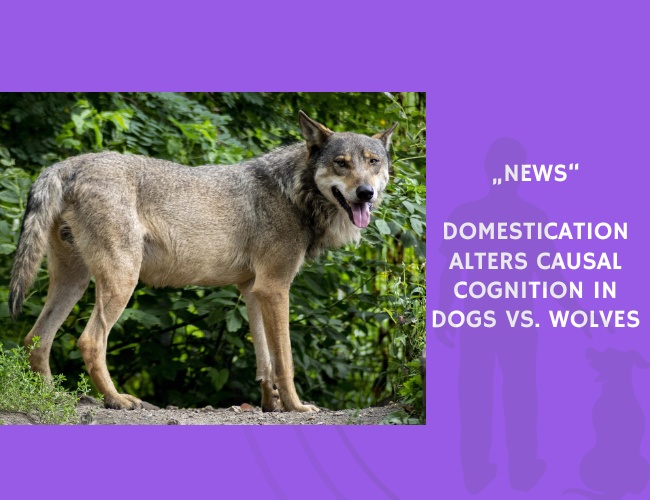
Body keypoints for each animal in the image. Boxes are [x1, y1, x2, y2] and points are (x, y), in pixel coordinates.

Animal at [9, 111, 397, 412]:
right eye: (341, 163)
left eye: (373, 162)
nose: (366, 193)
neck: (295, 191)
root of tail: (69, 163)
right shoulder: (275, 288)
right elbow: (284, 361)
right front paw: (296, 407)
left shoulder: (253, 290)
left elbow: (265, 361)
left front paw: (270, 405)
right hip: (120, 282)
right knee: (89, 341)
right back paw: (117, 400)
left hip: (74, 283)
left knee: (35, 339)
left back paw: (52, 397)